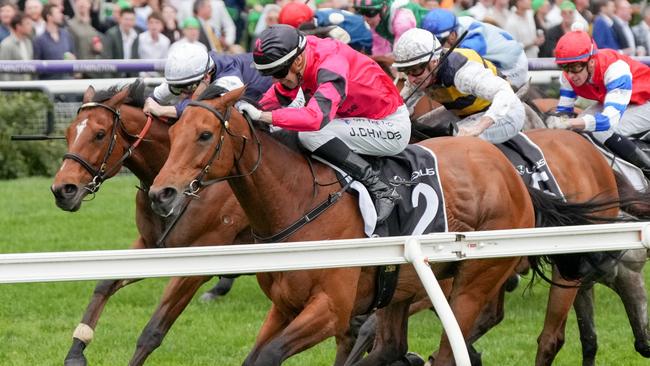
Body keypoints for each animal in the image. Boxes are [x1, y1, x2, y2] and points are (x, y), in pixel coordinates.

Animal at [49, 81, 252, 364]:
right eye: (68, 133)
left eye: (99, 134)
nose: (62, 190)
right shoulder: (150, 245)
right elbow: (105, 284)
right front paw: (77, 350)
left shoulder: (199, 262)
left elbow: (153, 330)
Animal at [148, 85, 616, 364]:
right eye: (171, 135)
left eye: (205, 135)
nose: (161, 193)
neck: (300, 200)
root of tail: (512, 175)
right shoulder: (285, 305)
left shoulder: (330, 309)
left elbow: (269, 355)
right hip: (400, 286)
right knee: (394, 344)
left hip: (472, 283)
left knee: (454, 348)